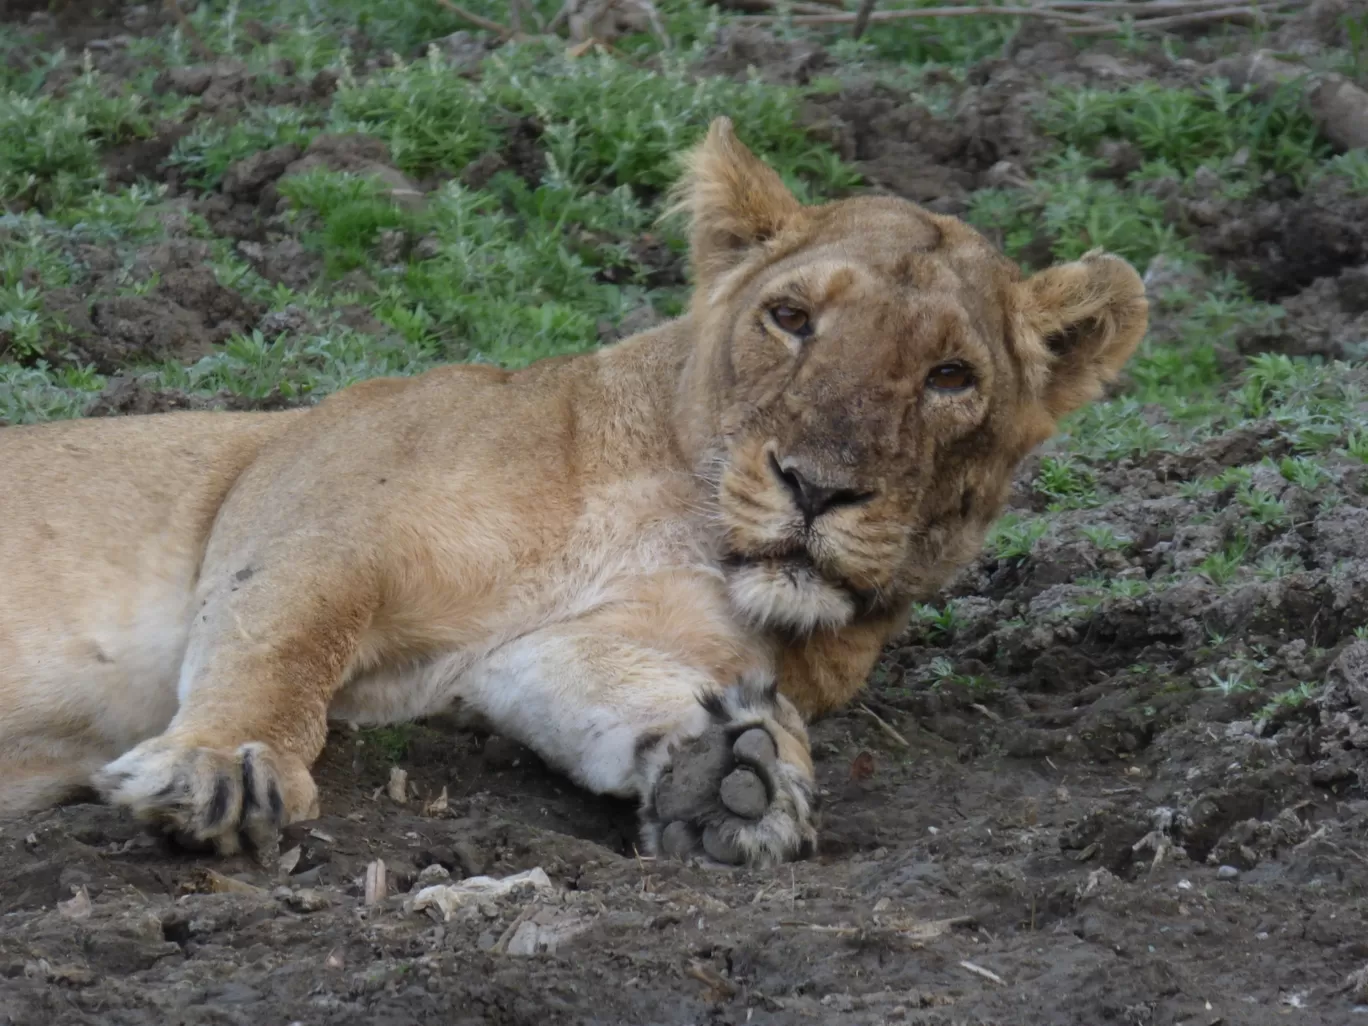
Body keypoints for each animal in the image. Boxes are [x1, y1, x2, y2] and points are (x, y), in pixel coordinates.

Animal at [0, 118, 1149, 870]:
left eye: (951, 376)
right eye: (790, 318)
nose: (817, 489)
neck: (677, 512)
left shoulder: (524, 654)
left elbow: (616, 688)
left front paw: (732, 777)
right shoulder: (307, 504)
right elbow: (279, 649)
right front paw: (222, 769)